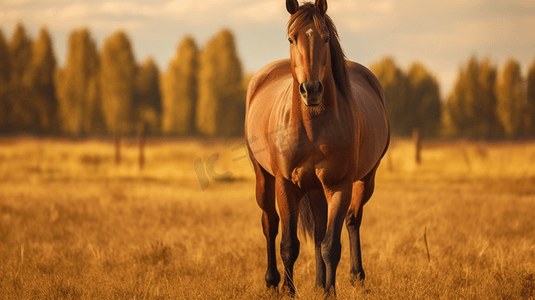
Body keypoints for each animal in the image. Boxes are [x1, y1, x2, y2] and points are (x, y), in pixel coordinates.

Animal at [246, 0, 390, 296]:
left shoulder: (338, 185)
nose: (311, 89)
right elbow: (289, 244)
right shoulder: (285, 184)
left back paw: (349, 277)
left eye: (325, 38)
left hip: (358, 181)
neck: (311, 127)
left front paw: (328, 292)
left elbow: (330, 245)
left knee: (347, 222)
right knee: (270, 224)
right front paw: (288, 291)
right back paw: (272, 281)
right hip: (263, 177)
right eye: (292, 38)